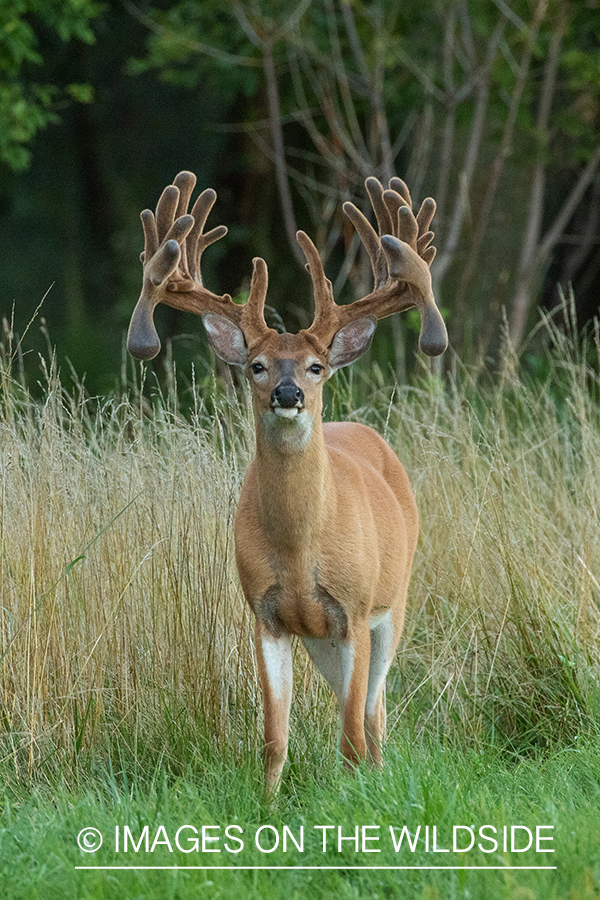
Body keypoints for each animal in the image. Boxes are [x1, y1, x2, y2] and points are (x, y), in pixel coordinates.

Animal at [126, 171, 446, 788]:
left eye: (316, 365)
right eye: (257, 364)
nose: (288, 393)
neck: (301, 547)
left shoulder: (354, 609)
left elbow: (349, 734)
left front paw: (353, 799)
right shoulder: (266, 614)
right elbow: (275, 737)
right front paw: (268, 801)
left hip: (393, 602)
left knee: (374, 712)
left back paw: (379, 771)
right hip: (324, 640)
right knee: (361, 708)